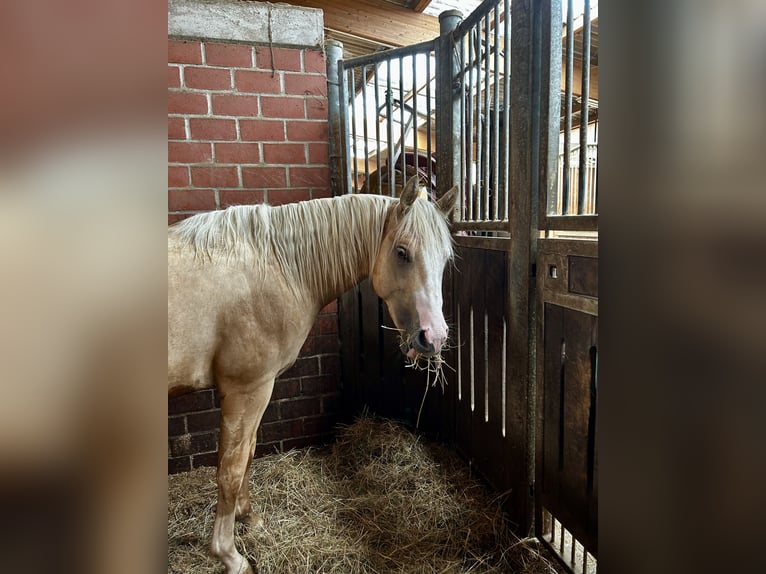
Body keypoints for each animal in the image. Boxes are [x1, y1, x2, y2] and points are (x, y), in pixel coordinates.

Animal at [168, 176, 458, 574]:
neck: (275, 267)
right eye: (402, 252)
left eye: (445, 259)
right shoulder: (248, 389)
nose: (434, 337)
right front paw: (229, 555)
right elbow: (231, 468)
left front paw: (250, 519)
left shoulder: (253, 392)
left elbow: (248, 454)